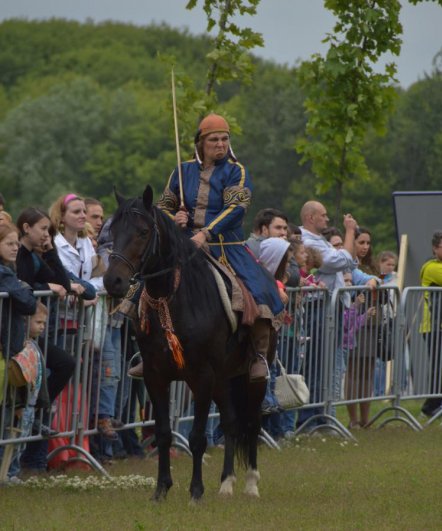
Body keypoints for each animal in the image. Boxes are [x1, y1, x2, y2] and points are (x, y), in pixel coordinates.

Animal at [103, 187, 266, 502]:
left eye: (143, 232)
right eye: (112, 230)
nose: (112, 281)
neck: (174, 297)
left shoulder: (201, 376)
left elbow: (197, 437)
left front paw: (196, 491)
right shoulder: (155, 376)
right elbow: (164, 433)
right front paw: (161, 489)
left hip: (251, 378)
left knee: (252, 422)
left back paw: (252, 483)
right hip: (224, 378)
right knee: (231, 421)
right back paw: (226, 482)